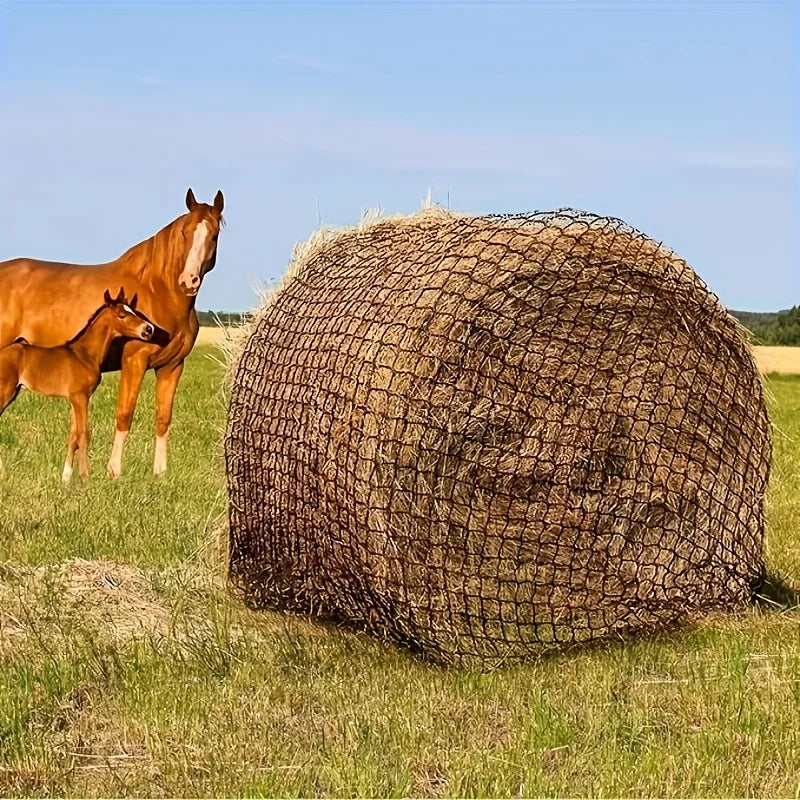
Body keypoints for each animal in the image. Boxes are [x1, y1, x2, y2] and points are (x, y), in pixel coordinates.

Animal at [0, 289, 154, 483]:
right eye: (122, 315)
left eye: (134, 311)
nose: (148, 329)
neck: (85, 354)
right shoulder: (80, 397)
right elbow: (84, 434)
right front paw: (85, 477)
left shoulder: (75, 399)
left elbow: (73, 436)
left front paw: (66, 478)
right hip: (5, 391)